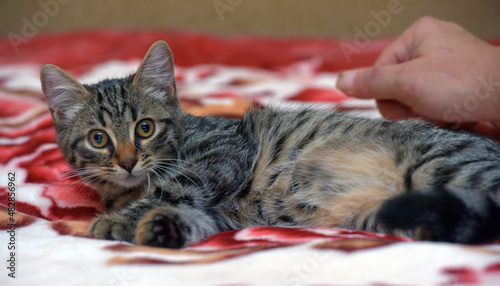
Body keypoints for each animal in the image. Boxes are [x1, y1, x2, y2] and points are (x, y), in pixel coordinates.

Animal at [41, 40, 500, 248]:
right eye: (98, 138)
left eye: (145, 129)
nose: (128, 162)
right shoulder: (218, 215)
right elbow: (193, 217)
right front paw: (161, 227)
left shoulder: (222, 151)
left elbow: (174, 186)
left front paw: (118, 221)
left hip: (442, 166)